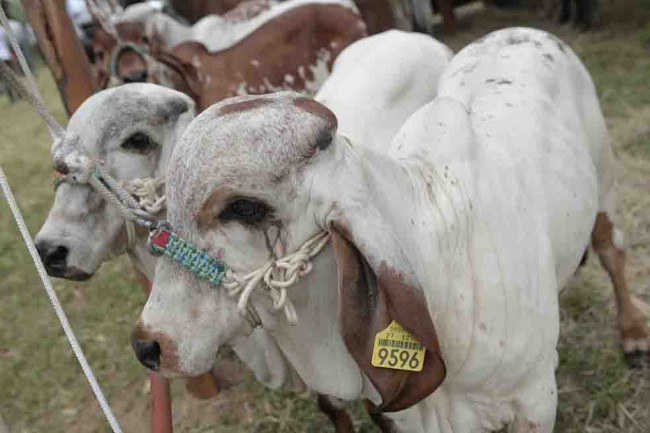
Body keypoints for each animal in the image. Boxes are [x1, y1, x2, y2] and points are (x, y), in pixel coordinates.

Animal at [133, 28, 644, 430]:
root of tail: (516, 31)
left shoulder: (536, 398)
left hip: (606, 183)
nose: (148, 344)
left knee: (612, 252)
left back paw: (634, 335)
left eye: (244, 208)